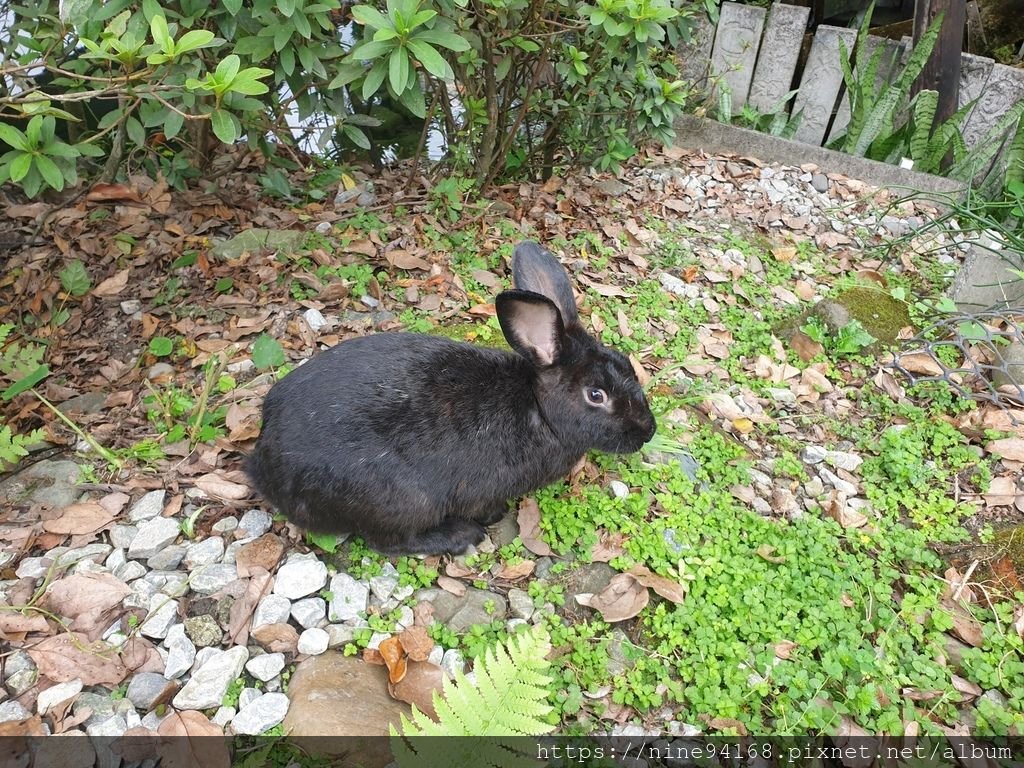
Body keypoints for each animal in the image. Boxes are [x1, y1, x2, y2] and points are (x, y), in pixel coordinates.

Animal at [245, 240, 655, 552]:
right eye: (596, 394)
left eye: (625, 363)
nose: (648, 431)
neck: (537, 407)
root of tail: (263, 463)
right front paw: (491, 518)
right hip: (402, 500)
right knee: (388, 542)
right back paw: (460, 536)